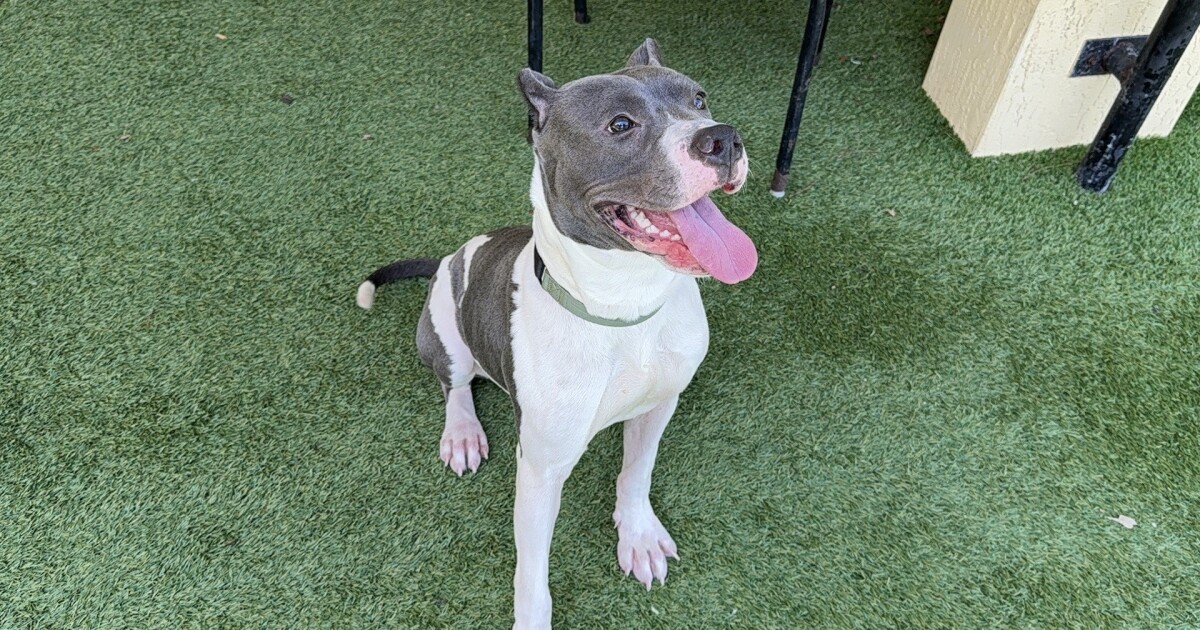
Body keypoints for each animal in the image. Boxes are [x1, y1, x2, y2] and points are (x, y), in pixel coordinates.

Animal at [357, 39, 757, 629]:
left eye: (700, 98)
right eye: (620, 124)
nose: (723, 138)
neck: (623, 309)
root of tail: (449, 258)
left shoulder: (660, 404)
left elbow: (637, 473)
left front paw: (638, 535)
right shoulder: (540, 469)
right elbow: (532, 572)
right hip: (443, 334)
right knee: (455, 385)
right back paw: (462, 433)